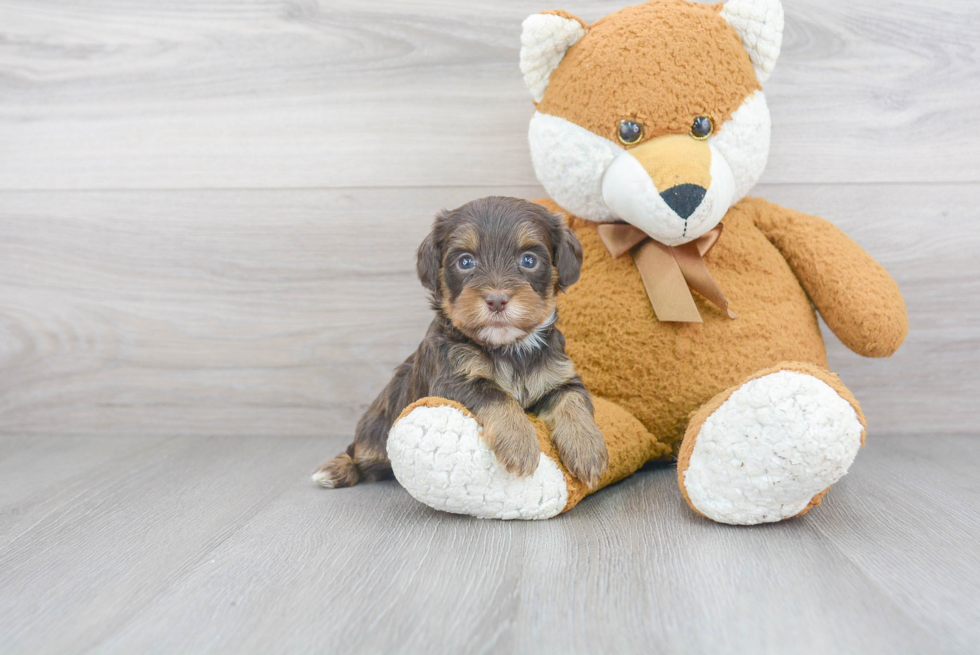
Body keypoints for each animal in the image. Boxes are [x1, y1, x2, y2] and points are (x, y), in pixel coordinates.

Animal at [314, 197, 608, 490]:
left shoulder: (560, 377)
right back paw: (335, 469)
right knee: (358, 453)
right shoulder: (452, 380)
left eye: (529, 260)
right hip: (375, 429)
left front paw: (588, 449)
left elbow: (573, 401)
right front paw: (519, 442)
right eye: (465, 262)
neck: (510, 349)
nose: (497, 300)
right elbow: (497, 395)